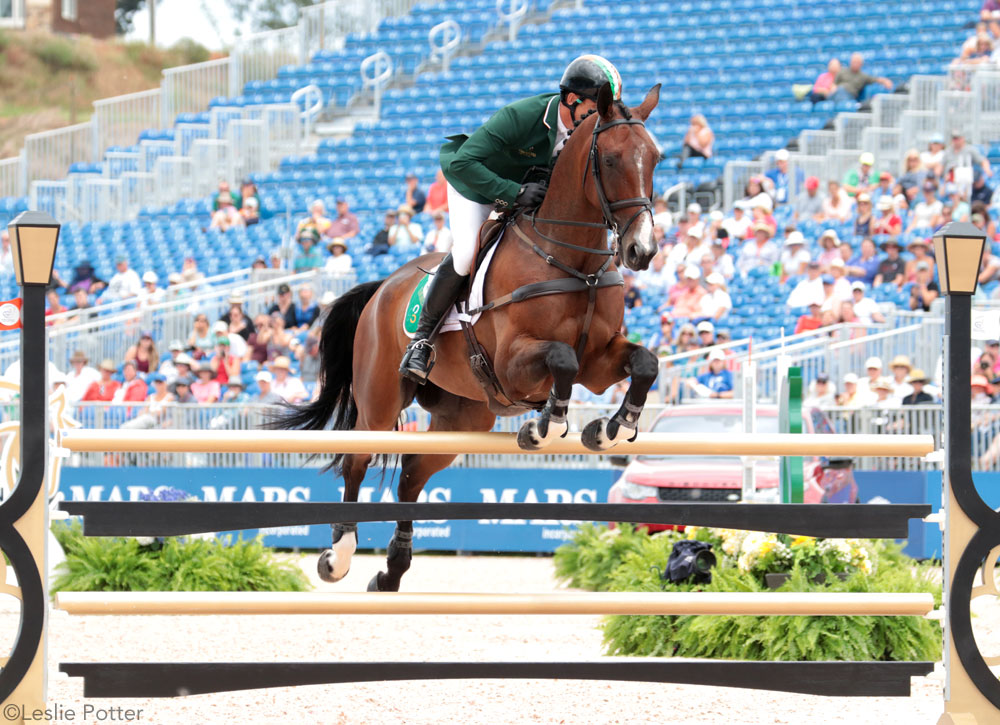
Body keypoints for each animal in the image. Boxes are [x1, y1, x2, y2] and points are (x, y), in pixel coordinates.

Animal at [276, 82, 664, 592]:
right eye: (614, 160)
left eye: (655, 158)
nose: (642, 251)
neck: (572, 261)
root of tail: (382, 288)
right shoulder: (513, 364)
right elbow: (562, 358)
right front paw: (545, 426)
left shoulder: (600, 362)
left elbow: (644, 364)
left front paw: (612, 428)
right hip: (380, 399)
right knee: (357, 460)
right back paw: (337, 556)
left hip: (464, 416)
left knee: (412, 473)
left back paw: (392, 572)